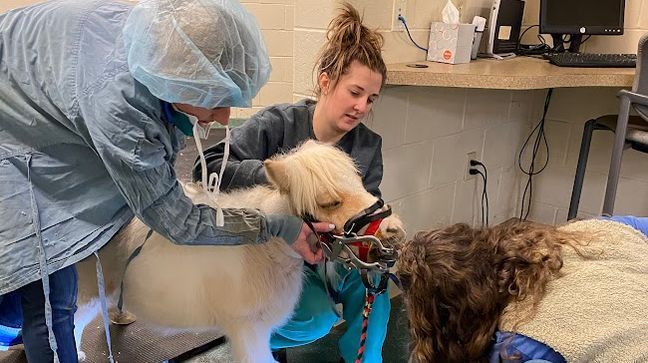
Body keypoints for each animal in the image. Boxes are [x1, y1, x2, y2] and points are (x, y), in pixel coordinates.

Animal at [73, 141, 402, 363]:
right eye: (330, 202)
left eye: (362, 181)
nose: (394, 232)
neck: (263, 251)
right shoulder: (248, 330)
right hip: (84, 296)